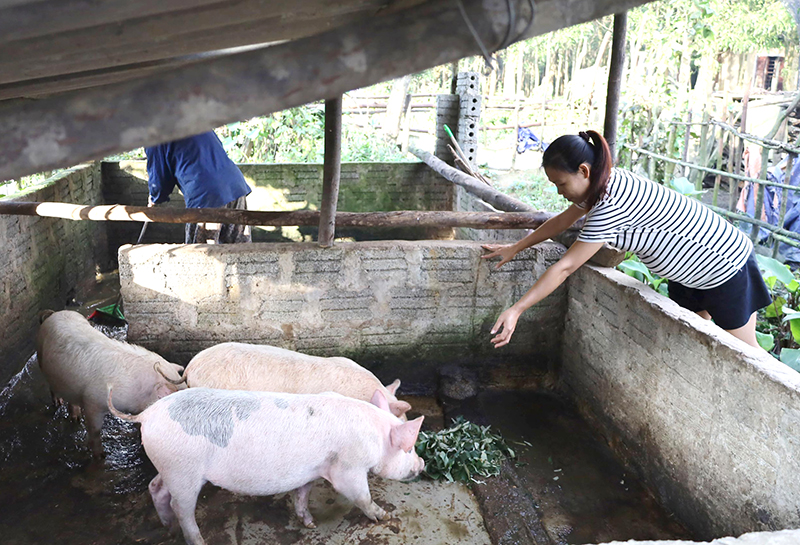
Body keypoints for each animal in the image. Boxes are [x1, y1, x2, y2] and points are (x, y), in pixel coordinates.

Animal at [111, 386, 432, 544]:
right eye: (408, 447)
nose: (422, 463)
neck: (374, 435)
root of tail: (147, 414)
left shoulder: (312, 470)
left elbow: (302, 494)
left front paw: (310, 522)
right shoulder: (348, 469)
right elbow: (361, 496)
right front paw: (381, 516)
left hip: (169, 467)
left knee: (156, 487)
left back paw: (168, 529)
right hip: (183, 470)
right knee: (182, 507)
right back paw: (196, 540)